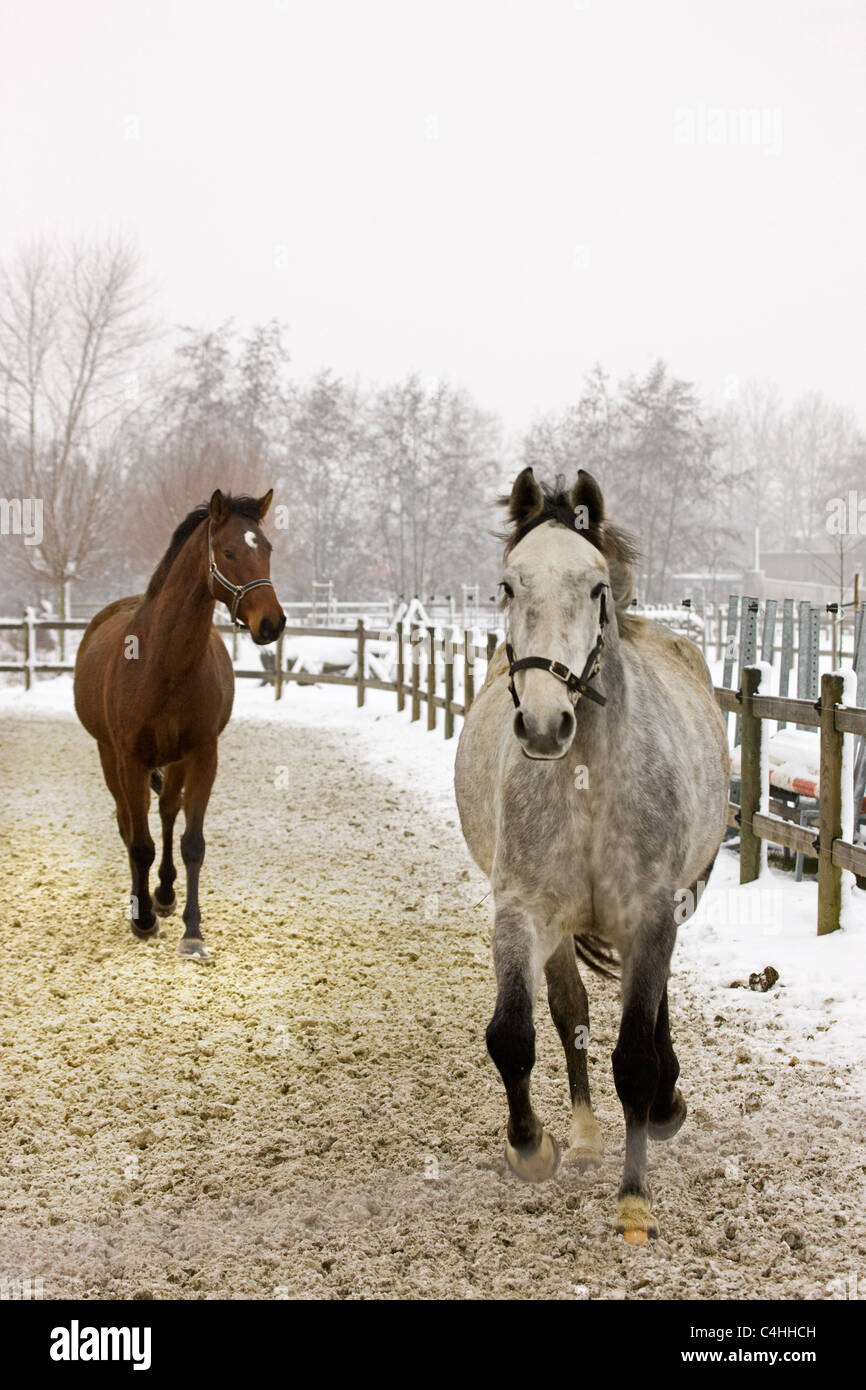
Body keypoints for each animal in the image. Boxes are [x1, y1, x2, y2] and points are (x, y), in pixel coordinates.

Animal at [74, 489, 284, 956]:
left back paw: (165, 893)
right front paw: (143, 919)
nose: (272, 623)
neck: (162, 662)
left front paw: (192, 931)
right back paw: (144, 902)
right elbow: (139, 844)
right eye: (228, 551)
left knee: (169, 812)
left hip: (173, 761)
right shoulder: (130, 758)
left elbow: (192, 843)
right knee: (127, 822)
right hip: (109, 755)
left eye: (266, 549)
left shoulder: (202, 754)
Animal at [453, 467, 733, 1239]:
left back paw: (665, 1106)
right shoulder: (523, 913)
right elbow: (516, 1033)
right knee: (570, 1013)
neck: (586, 782)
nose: (546, 723)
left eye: (597, 587)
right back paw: (581, 1139)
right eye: (508, 585)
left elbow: (635, 1055)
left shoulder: (653, 912)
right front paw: (533, 1148)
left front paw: (635, 1196)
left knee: (653, 1007)